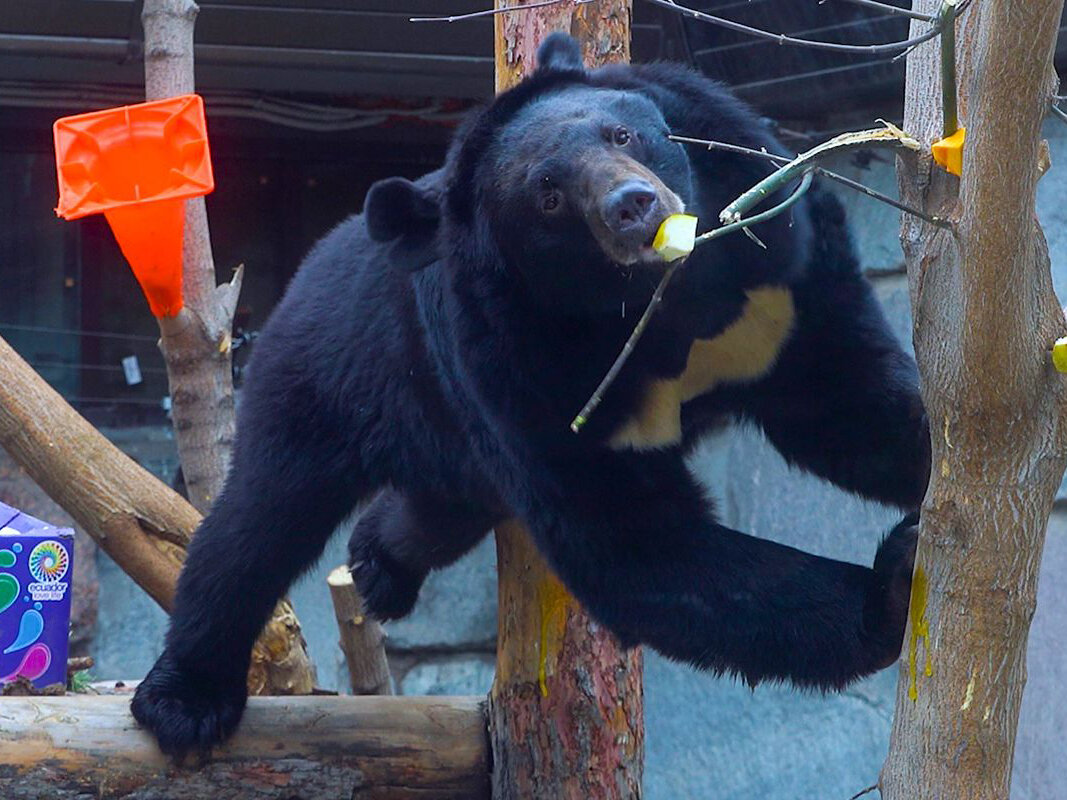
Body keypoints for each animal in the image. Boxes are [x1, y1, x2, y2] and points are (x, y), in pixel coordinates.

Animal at [131, 32, 926, 759]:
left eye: (621, 133)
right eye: (548, 196)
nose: (634, 205)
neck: (658, 302)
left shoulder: (778, 285)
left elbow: (847, 402)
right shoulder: (523, 373)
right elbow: (636, 545)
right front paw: (890, 589)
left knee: (432, 510)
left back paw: (378, 565)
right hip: (327, 374)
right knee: (257, 523)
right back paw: (185, 700)